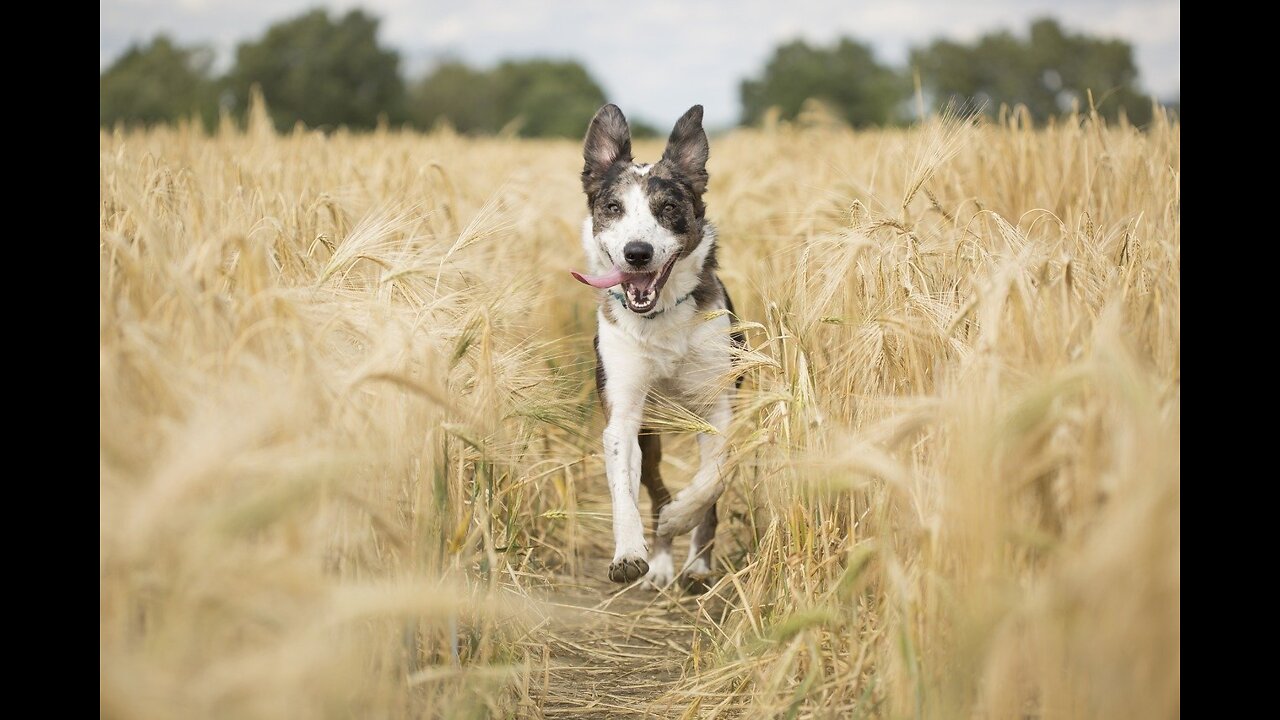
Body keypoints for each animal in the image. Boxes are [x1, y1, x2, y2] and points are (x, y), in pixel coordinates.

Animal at [568, 105, 742, 589]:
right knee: (655, 486)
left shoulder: (718, 407)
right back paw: (661, 562)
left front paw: (681, 519)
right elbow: (623, 489)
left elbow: (712, 479)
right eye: (613, 208)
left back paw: (695, 562)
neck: (660, 318)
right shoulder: (625, 415)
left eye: (668, 208)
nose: (637, 253)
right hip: (652, 431)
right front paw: (630, 552)